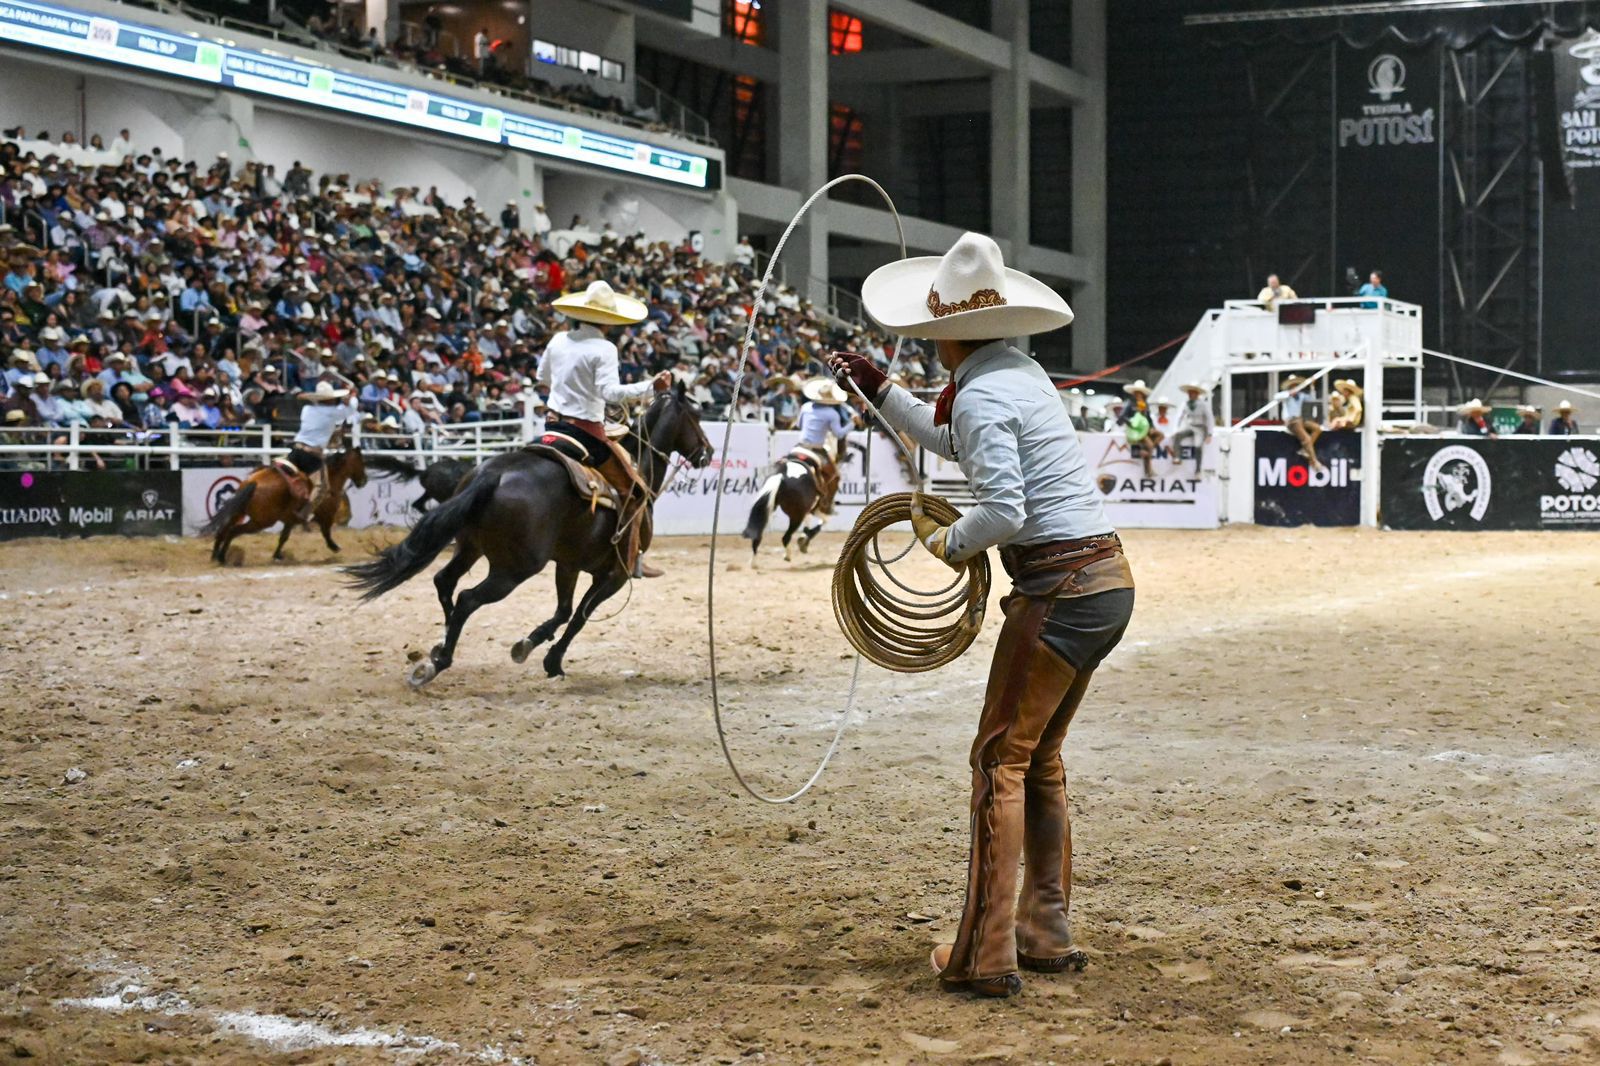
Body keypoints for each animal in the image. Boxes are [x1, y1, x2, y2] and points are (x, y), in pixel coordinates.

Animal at [203, 444, 368, 563]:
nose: (364, 481)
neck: (331, 479)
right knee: (233, 531)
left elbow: (284, 537)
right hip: (261, 522)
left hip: (239, 512)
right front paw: (334, 547)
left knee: (223, 529)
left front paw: (277, 555)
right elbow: (326, 532)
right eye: (361, 462)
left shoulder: (290, 519)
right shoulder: (326, 515)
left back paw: (215, 556)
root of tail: (254, 483)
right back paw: (222, 557)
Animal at [348, 385, 713, 685]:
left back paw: (441, 642)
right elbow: (580, 615)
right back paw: (438, 662)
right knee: (468, 598)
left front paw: (529, 644)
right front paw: (552, 660)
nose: (707, 452)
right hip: (514, 569)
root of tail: (494, 474)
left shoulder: (568, 563)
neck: (639, 468)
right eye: (695, 416)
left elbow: (564, 610)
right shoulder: (614, 574)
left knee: (444, 582)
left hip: (470, 547)